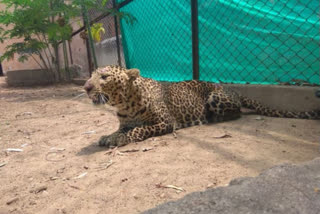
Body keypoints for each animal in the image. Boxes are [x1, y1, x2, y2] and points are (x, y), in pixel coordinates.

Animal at [84, 65, 318, 148]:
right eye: (92, 74)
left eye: (104, 77)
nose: (86, 86)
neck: (124, 103)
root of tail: (234, 90)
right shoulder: (124, 122)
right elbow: (120, 129)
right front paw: (108, 137)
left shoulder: (165, 123)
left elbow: (139, 129)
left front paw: (121, 139)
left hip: (215, 97)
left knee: (237, 113)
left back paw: (213, 118)